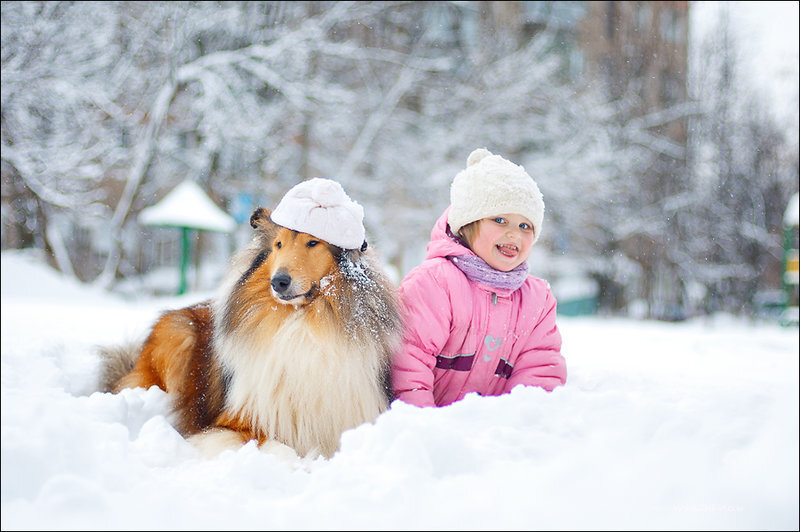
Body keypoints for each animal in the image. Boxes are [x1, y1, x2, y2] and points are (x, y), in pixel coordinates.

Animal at [98, 207, 400, 458]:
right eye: (278, 245)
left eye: (313, 242)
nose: (279, 281)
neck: (300, 324)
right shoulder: (235, 424)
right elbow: (279, 448)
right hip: (179, 332)